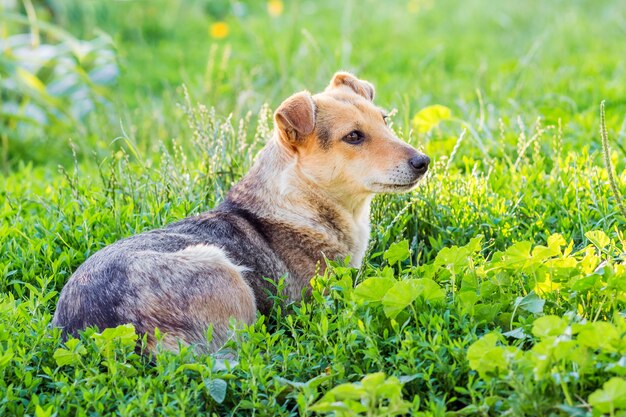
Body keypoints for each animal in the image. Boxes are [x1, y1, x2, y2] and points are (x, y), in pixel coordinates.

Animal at [52, 71, 428, 352]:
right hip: (222, 269)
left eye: (385, 121)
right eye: (353, 137)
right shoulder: (330, 295)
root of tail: (106, 333)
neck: (300, 198)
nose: (423, 161)